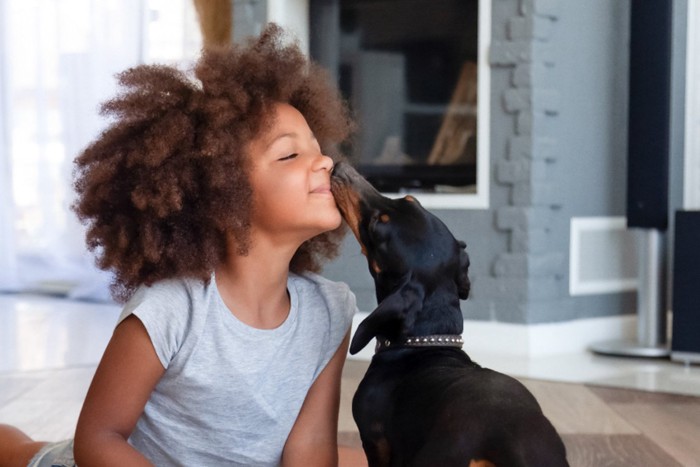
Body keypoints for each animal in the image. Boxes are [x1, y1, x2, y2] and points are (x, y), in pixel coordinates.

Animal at [330, 163, 568, 466]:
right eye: (410, 200)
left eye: (377, 225)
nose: (340, 168)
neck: (425, 342)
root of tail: (504, 441)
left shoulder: (375, 443)